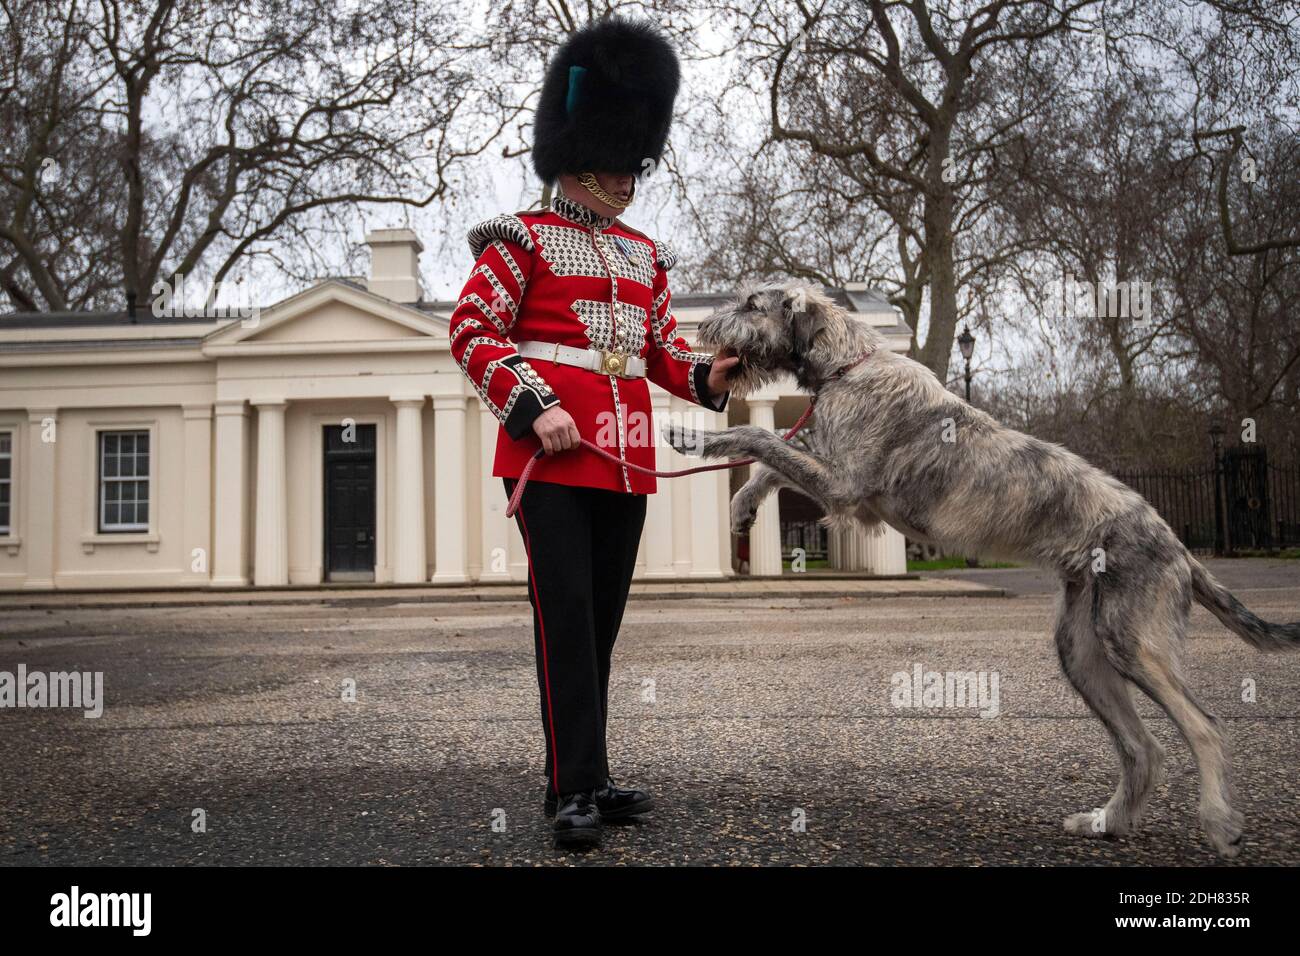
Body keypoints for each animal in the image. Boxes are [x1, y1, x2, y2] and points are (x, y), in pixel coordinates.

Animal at [670, 278, 1300, 858]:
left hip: (1133, 640)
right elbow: (773, 459)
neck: (849, 365)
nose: (702, 330)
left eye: (752, 304)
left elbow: (762, 436)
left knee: (1204, 725)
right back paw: (1108, 821)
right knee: (1143, 746)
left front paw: (696, 436)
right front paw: (743, 503)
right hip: (1082, 649)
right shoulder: (841, 482)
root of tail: (1180, 551)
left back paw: (1219, 822)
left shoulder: (844, 484)